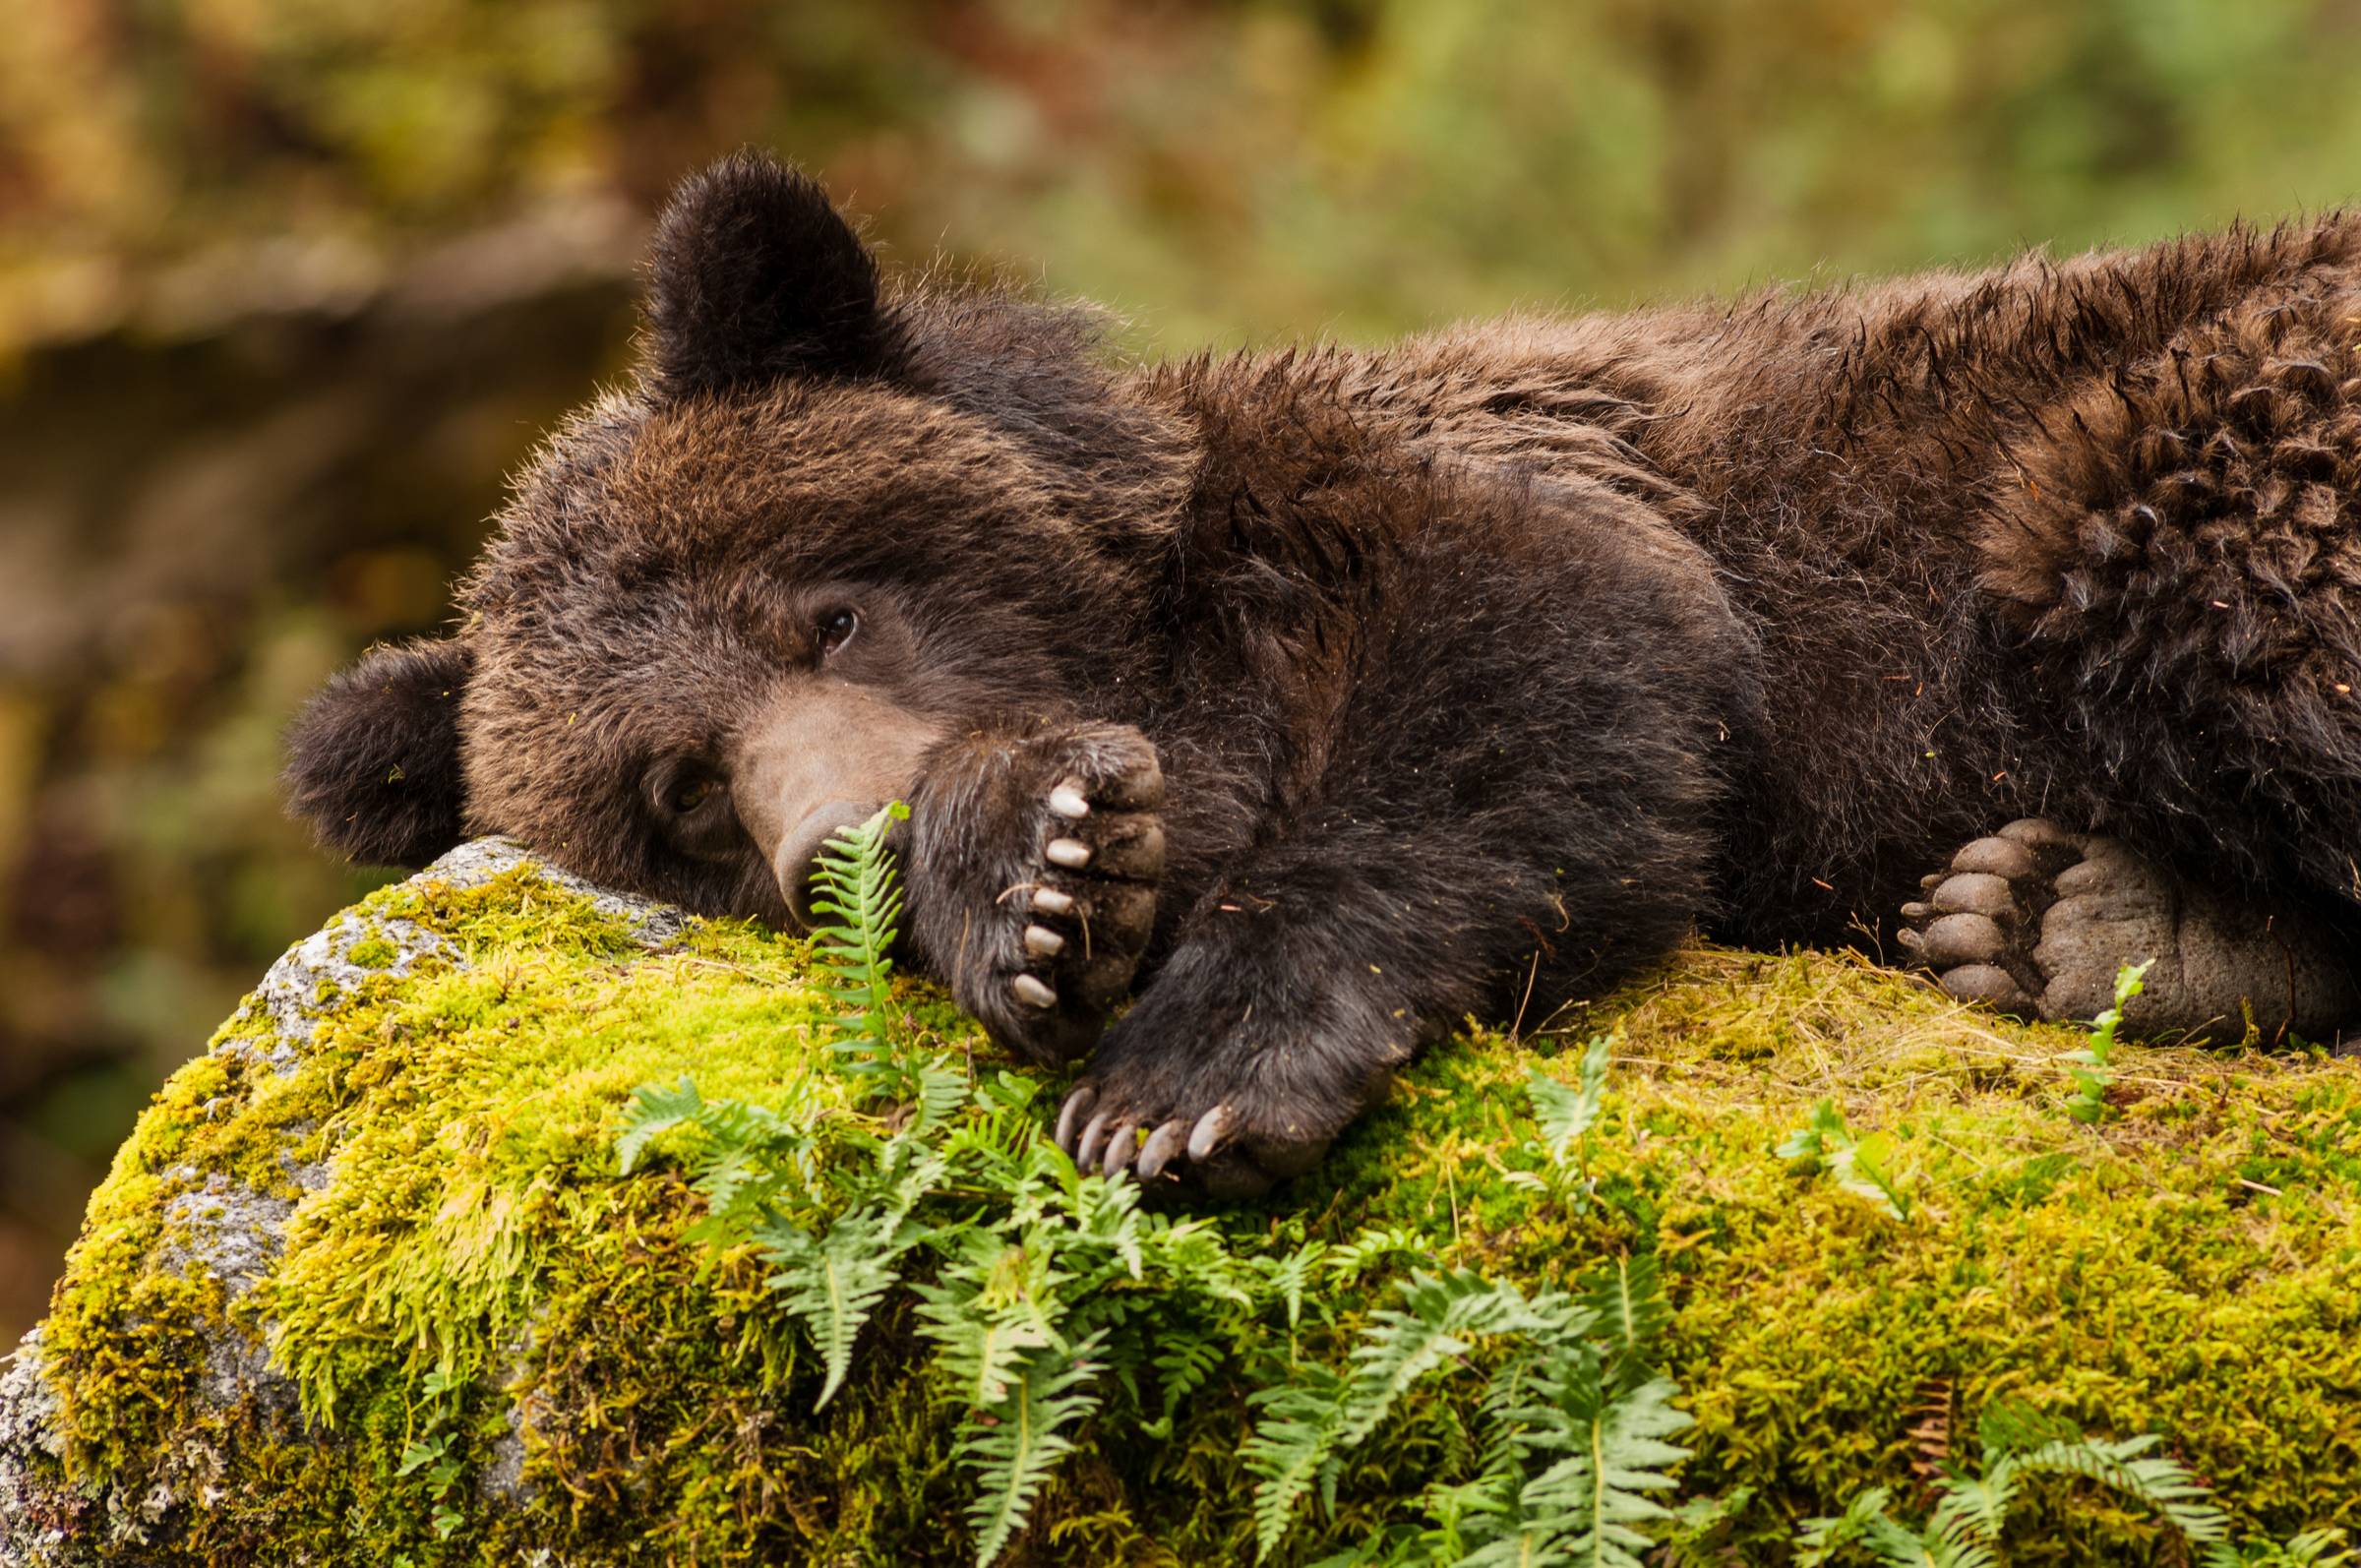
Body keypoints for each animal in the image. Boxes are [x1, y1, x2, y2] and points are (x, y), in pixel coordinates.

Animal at [286, 151, 2361, 1196]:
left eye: (828, 610)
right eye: (680, 790)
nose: (843, 838)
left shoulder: (1515, 490)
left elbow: (1540, 669)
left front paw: (1183, 1075)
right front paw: (1039, 883)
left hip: (2190, 416)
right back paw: (2057, 913)